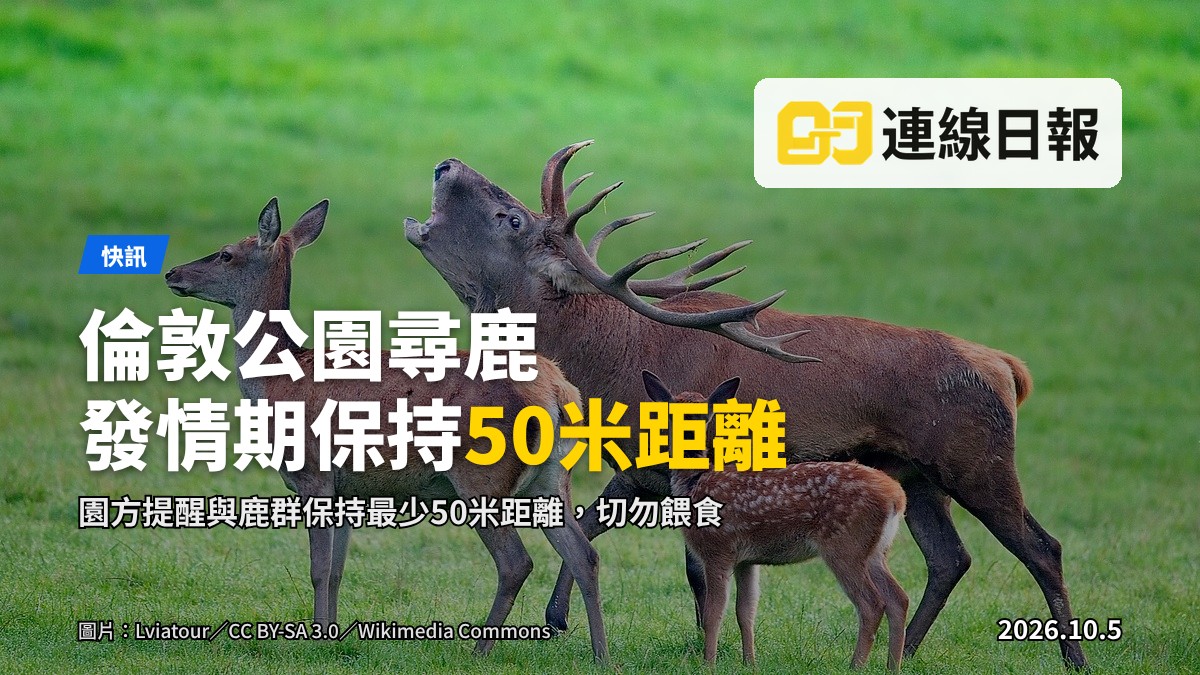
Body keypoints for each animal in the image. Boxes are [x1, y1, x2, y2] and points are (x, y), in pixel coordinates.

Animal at [164, 197, 608, 661]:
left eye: (226, 253)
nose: (172, 273)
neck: (278, 382)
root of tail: (559, 392)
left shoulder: (314, 474)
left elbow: (318, 567)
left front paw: (315, 638)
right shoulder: (347, 490)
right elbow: (337, 570)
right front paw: (332, 634)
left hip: (482, 476)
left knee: (516, 562)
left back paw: (480, 649)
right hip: (552, 479)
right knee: (585, 555)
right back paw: (601, 655)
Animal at [642, 370, 908, 670]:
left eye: (703, 415)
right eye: (672, 413)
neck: (695, 483)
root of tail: (896, 496)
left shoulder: (717, 549)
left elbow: (713, 613)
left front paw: (708, 663)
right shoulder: (745, 560)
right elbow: (745, 611)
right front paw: (750, 662)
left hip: (845, 544)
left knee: (872, 603)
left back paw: (855, 666)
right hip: (875, 550)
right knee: (898, 599)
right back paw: (893, 666)